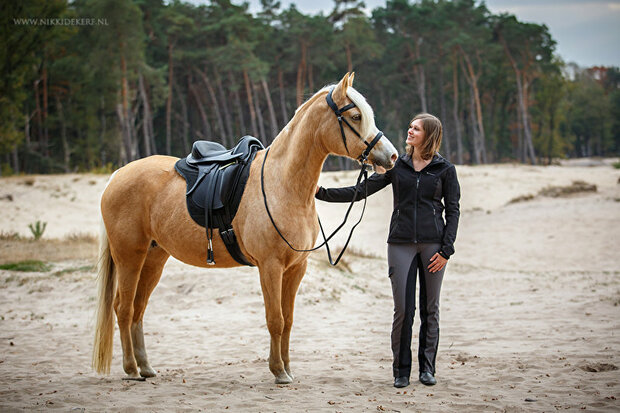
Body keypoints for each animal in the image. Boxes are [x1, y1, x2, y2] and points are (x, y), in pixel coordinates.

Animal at [94, 72, 400, 382]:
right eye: (355, 115)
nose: (392, 156)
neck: (283, 184)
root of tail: (117, 175)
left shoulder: (295, 269)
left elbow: (289, 320)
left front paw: (287, 368)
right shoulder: (270, 266)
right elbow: (275, 320)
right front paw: (278, 371)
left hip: (154, 258)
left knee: (138, 310)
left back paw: (145, 367)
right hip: (129, 257)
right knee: (123, 308)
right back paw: (131, 369)